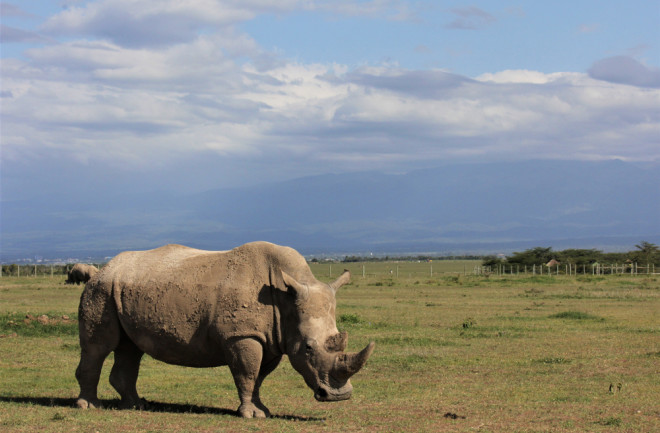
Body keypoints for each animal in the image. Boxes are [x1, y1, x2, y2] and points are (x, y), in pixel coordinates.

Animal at [75, 241, 374, 416]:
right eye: (309, 348)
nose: (339, 396)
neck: (287, 299)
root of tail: (102, 269)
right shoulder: (242, 335)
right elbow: (247, 372)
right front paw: (249, 415)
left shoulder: (272, 338)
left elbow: (259, 376)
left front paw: (261, 411)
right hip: (101, 291)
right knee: (98, 347)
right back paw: (89, 406)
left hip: (121, 290)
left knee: (130, 348)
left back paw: (136, 405)